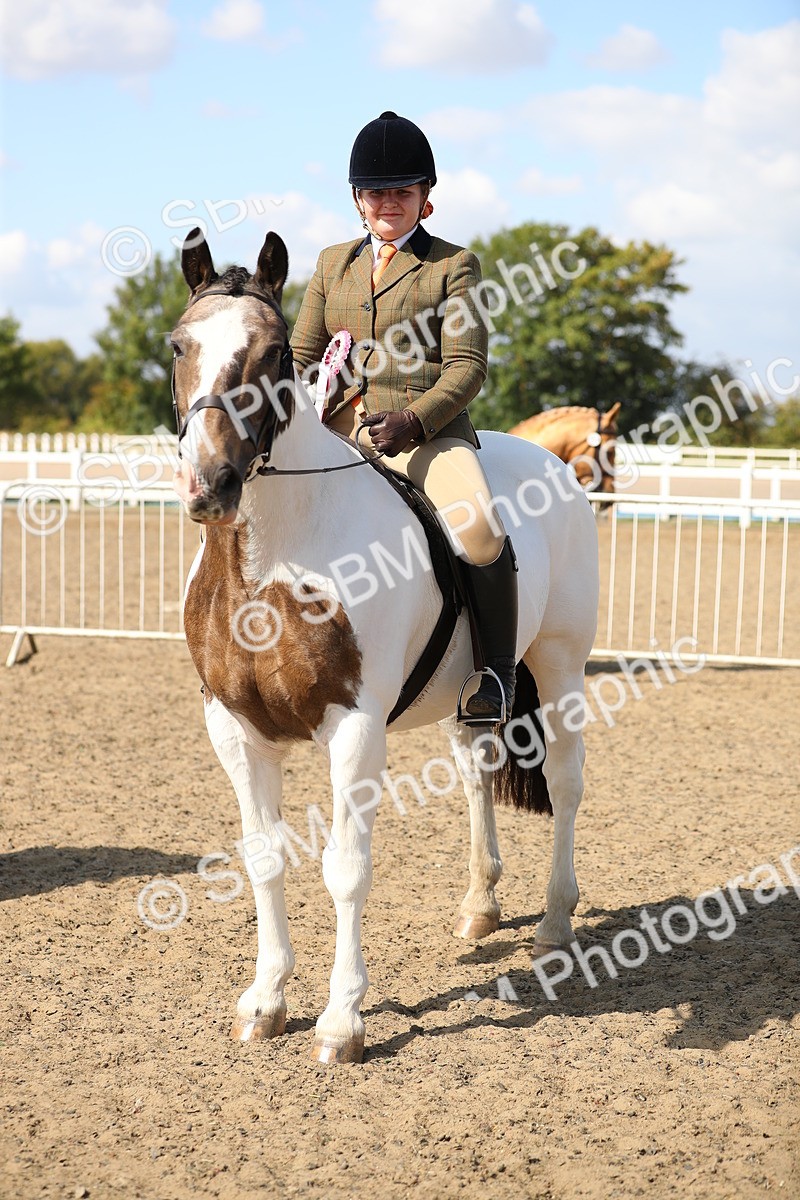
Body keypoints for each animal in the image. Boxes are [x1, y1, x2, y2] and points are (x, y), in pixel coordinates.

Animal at [170, 228, 599, 1065]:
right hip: (473, 695)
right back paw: (479, 908)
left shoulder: (354, 728)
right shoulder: (233, 728)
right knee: (475, 775)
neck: (274, 555)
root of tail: (552, 465)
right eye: (180, 345)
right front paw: (265, 1002)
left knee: (565, 783)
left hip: (561, 666)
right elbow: (264, 857)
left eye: (274, 353)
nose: (211, 485)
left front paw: (342, 1022)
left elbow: (345, 868)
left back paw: (555, 923)